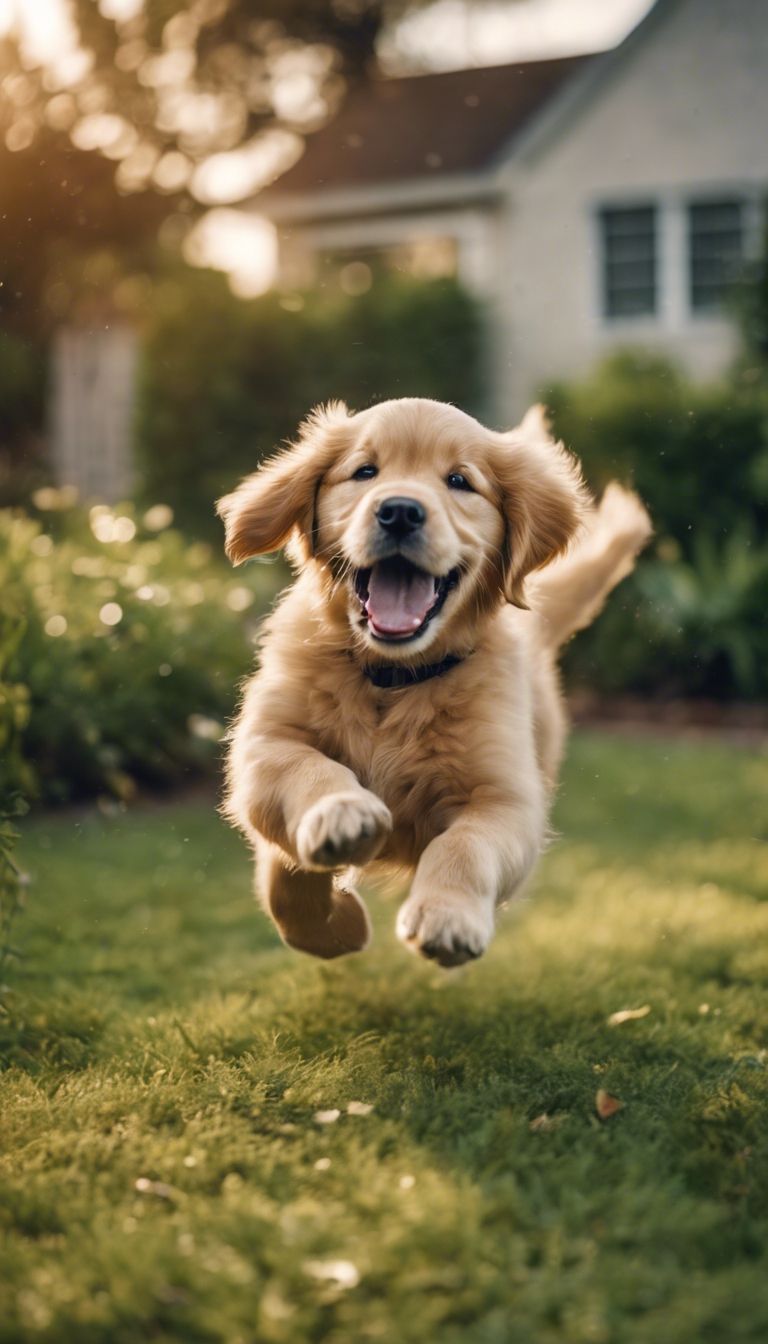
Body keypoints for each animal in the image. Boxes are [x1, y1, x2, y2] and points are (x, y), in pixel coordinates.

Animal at [219, 395, 650, 967]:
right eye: (365, 471)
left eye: (459, 481)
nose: (400, 510)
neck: (394, 677)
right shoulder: (263, 746)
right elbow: (303, 793)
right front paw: (341, 832)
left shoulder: (507, 800)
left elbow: (464, 847)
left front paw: (447, 917)